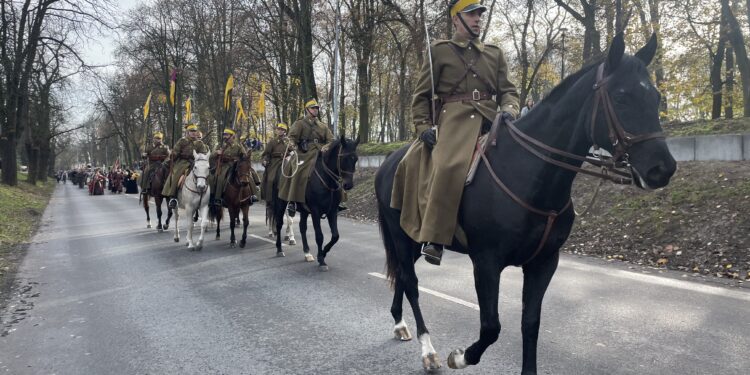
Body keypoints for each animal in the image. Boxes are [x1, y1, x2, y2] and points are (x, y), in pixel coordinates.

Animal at [274, 137, 362, 272]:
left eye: (355, 158)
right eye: (344, 158)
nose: (348, 185)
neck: (327, 180)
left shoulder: (332, 212)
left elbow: (335, 236)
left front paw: (323, 253)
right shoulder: (315, 211)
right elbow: (319, 236)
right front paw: (321, 260)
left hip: (304, 210)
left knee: (302, 227)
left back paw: (307, 253)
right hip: (281, 203)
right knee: (279, 224)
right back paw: (279, 249)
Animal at [376, 33, 676, 374]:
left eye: (655, 97)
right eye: (622, 97)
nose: (662, 168)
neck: (529, 172)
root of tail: (389, 162)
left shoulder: (543, 263)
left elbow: (530, 323)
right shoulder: (486, 263)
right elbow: (491, 327)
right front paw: (460, 356)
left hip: (414, 241)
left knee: (403, 276)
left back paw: (400, 324)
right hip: (402, 237)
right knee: (412, 283)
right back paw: (428, 350)